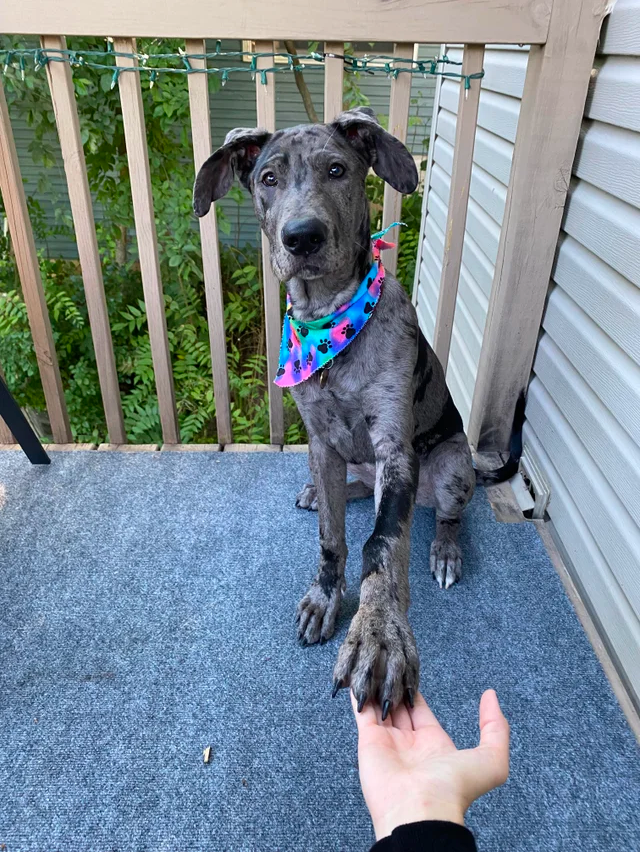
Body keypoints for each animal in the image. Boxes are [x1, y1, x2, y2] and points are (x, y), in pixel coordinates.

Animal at [192, 108, 524, 720]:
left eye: (337, 170)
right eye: (268, 178)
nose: (302, 237)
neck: (329, 323)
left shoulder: (393, 447)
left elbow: (381, 544)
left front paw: (379, 634)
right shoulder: (320, 441)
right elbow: (332, 536)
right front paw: (326, 597)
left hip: (450, 465)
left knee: (448, 514)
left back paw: (445, 549)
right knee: (351, 490)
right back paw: (324, 492)